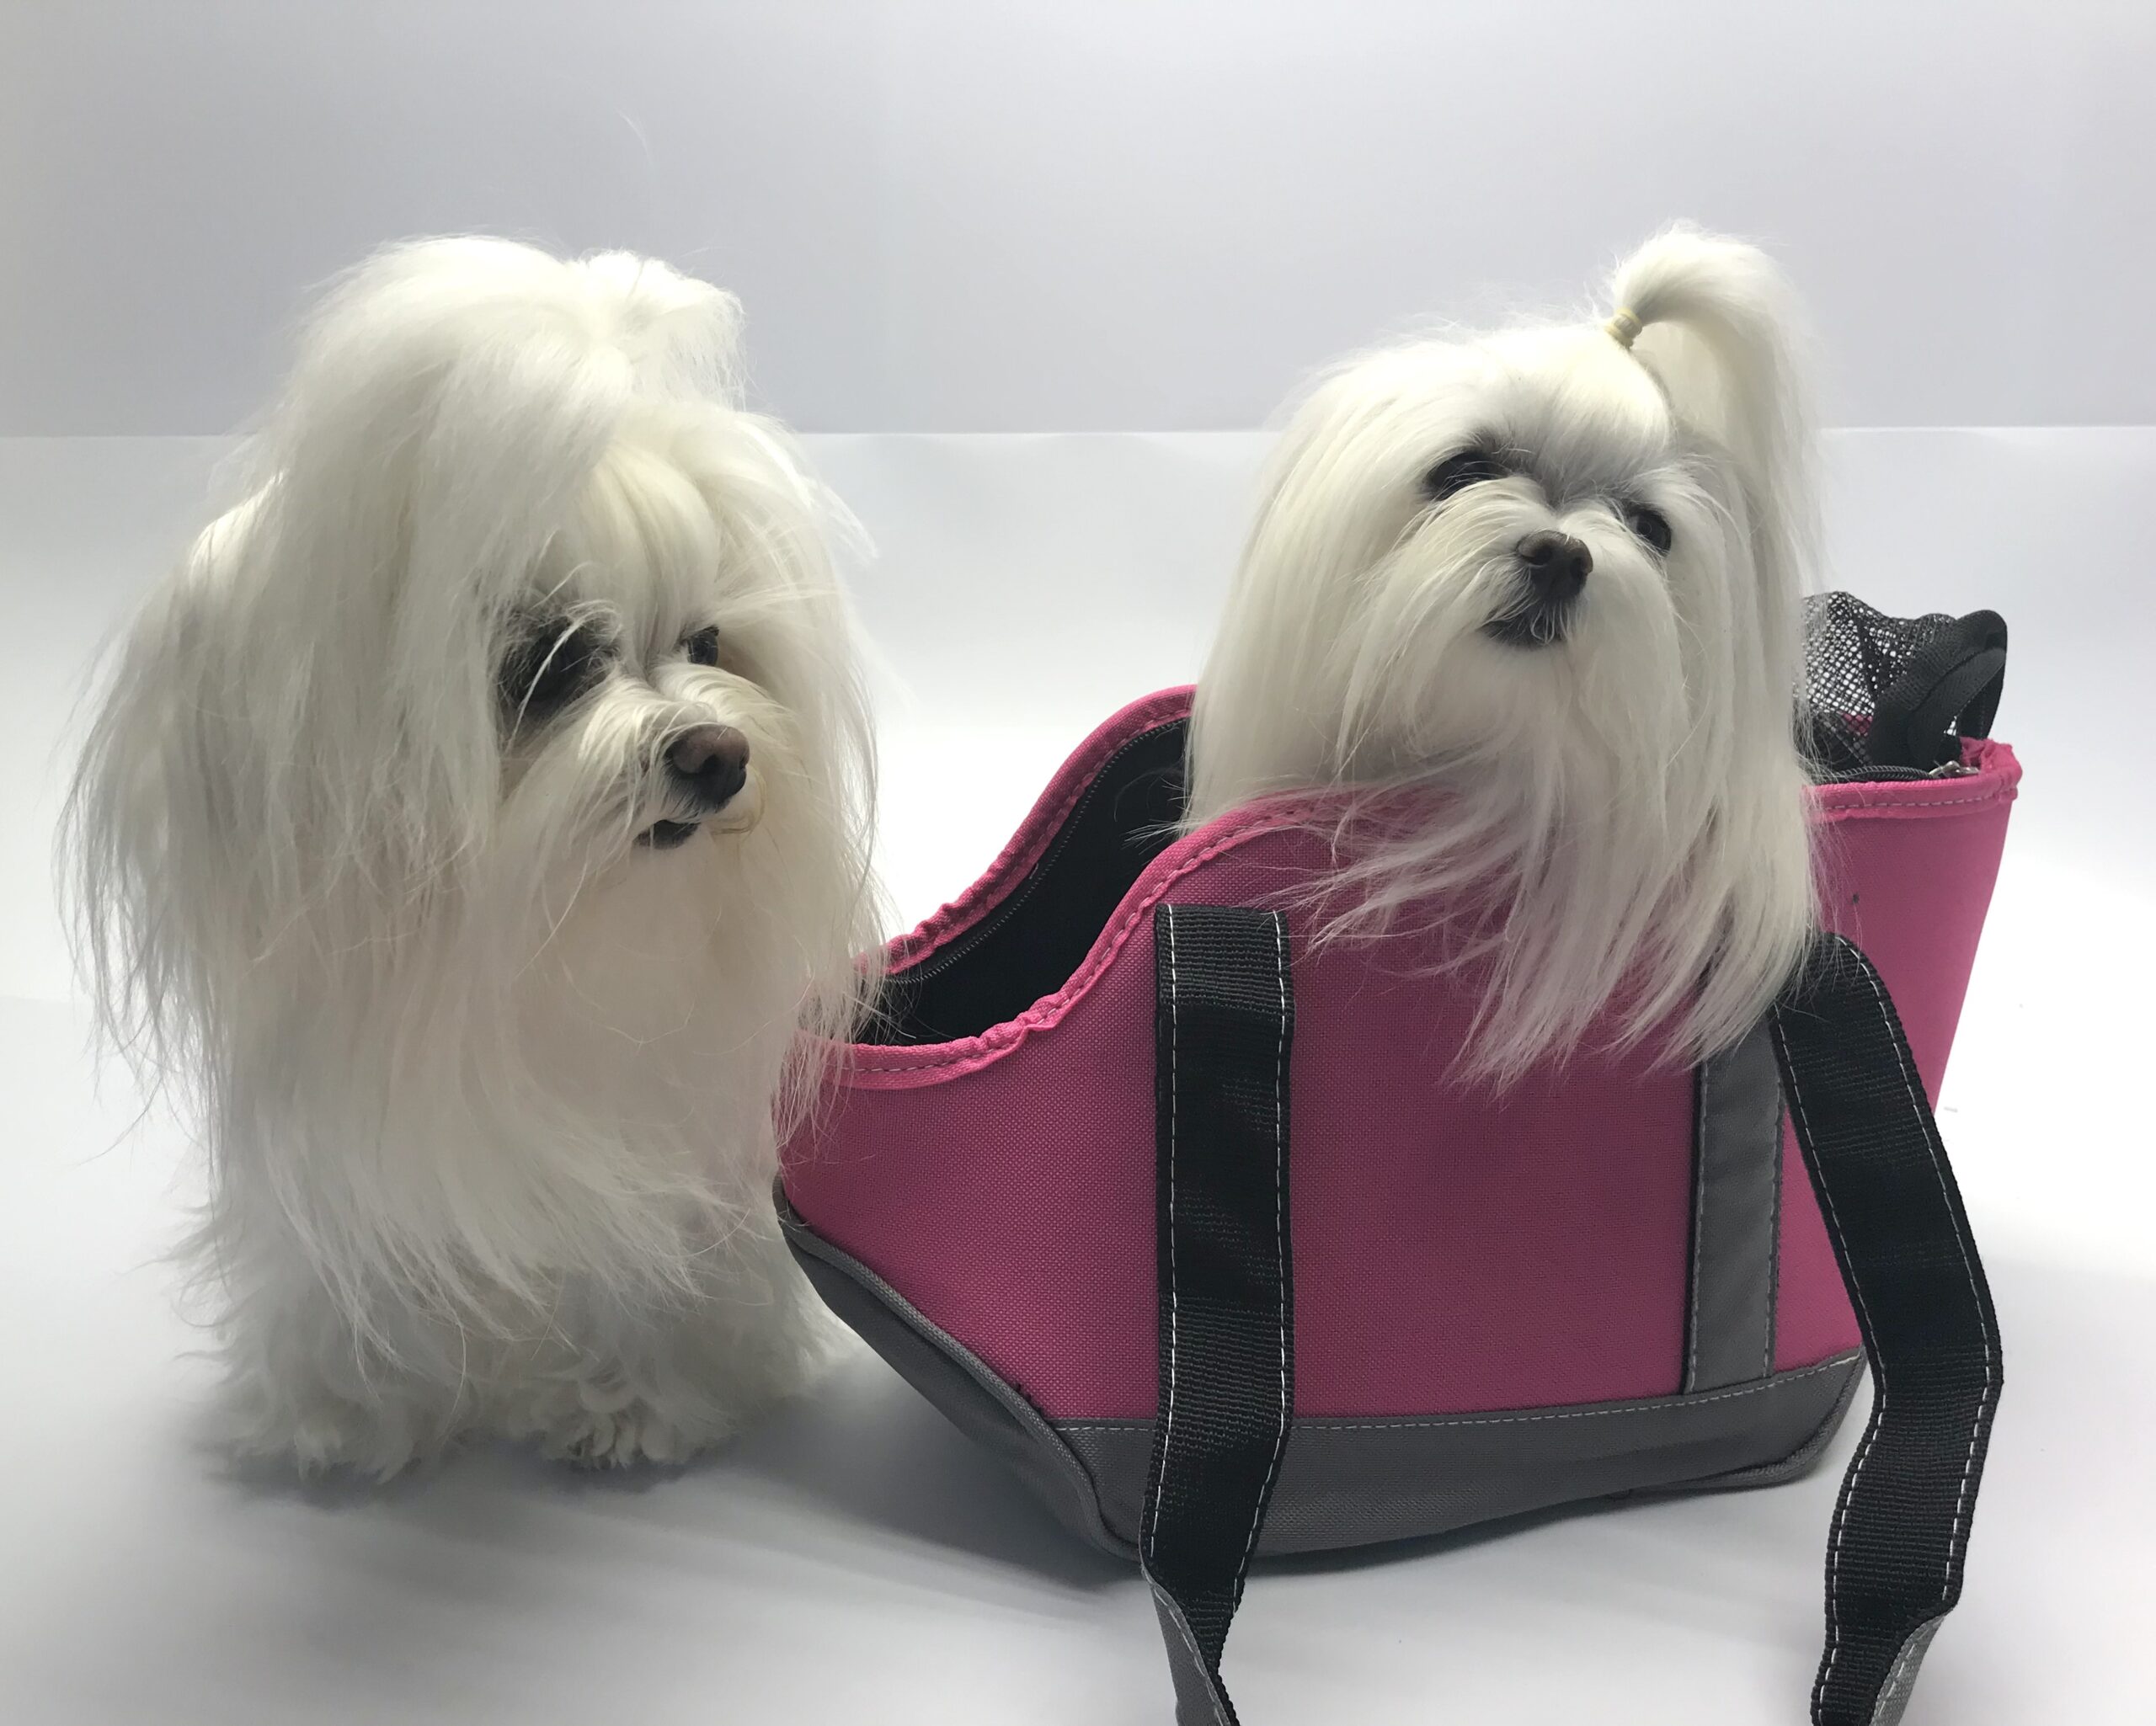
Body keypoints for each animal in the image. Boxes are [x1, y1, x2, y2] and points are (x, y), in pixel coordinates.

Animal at [66, 238, 882, 1474]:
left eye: (707, 641)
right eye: (545, 664)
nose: (717, 753)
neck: (562, 943)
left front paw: (633, 1399)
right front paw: (348, 1407)